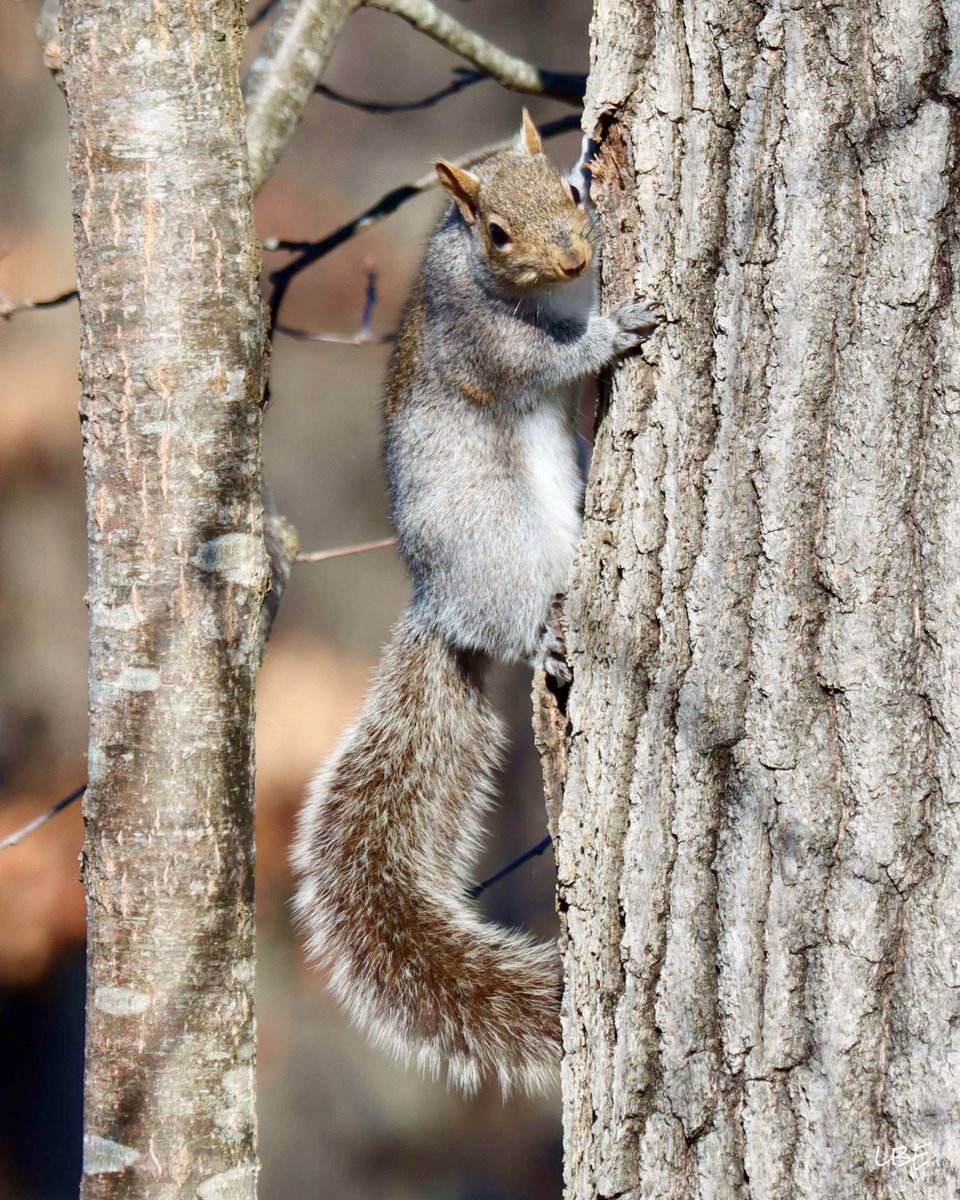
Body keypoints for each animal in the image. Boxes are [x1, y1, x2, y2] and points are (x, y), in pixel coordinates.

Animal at [289, 112, 657, 1099]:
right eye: (495, 232)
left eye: (569, 193)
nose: (576, 257)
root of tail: (439, 603)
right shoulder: (488, 346)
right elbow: (545, 360)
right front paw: (617, 329)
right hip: (500, 553)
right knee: (519, 624)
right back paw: (547, 641)